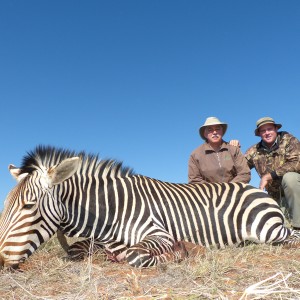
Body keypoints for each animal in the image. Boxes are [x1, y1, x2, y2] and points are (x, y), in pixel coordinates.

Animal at [0, 145, 298, 270]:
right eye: (5, 206)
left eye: (28, 206)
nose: (1, 261)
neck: (111, 210)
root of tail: (256, 189)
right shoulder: (97, 241)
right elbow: (76, 250)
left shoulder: (159, 233)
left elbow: (136, 256)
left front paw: (179, 254)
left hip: (268, 230)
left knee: (292, 237)